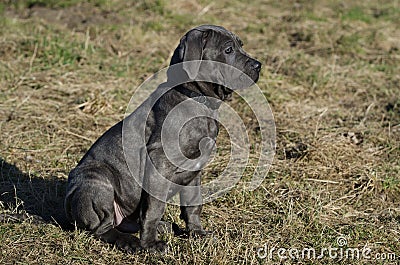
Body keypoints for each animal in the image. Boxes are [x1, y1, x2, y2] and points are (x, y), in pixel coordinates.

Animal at [64, 24, 260, 252]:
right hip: (97, 181)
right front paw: (151, 245)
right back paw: (131, 242)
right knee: (103, 228)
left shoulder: (194, 171)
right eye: (228, 50)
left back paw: (160, 227)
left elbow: (193, 204)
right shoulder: (159, 164)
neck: (196, 97)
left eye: (241, 46)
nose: (258, 65)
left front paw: (197, 233)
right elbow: (153, 209)